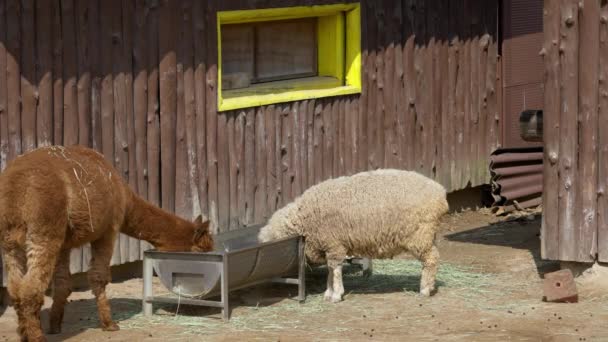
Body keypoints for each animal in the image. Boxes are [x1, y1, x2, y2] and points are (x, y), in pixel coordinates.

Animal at [256, 168, 446, 302]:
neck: (306, 217)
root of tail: (440, 192)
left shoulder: (333, 243)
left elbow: (335, 269)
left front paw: (336, 294)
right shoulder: (329, 245)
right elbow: (330, 270)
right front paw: (329, 292)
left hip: (420, 235)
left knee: (431, 260)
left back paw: (424, 290)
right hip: (428, 235)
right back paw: (429, 286)